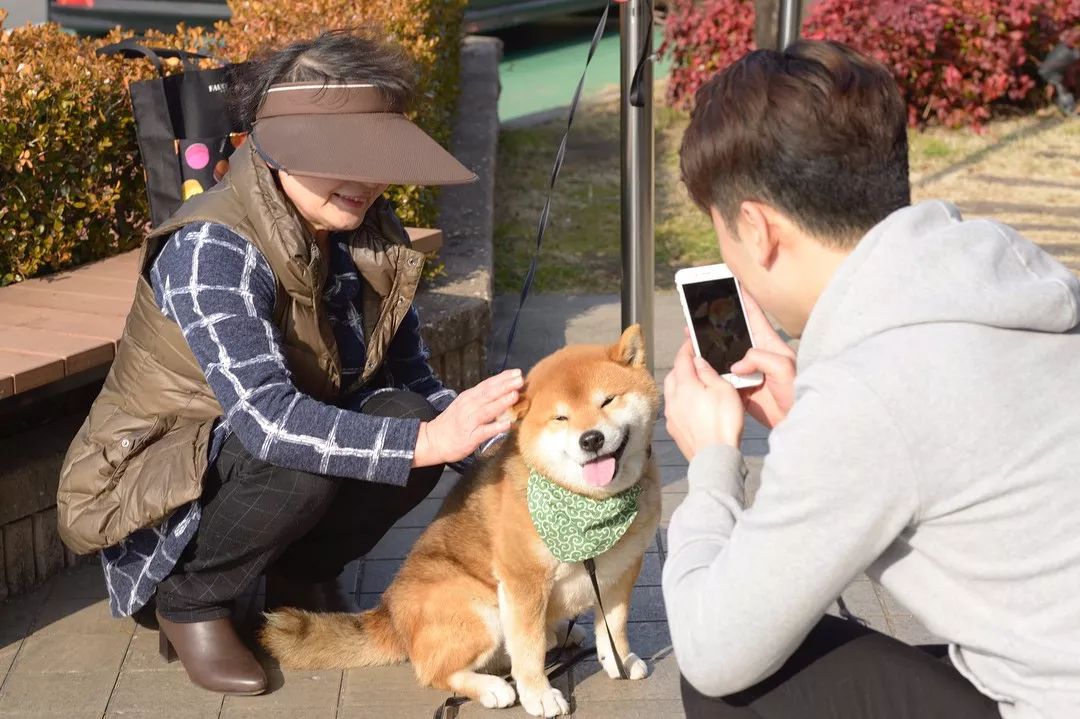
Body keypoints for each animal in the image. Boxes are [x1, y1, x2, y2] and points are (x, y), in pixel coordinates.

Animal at [263, 326, 665, 716]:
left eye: (607, 401)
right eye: (560, 417)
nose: (591, 439)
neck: (589, 504)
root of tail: (390, 613)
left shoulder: (622, 570)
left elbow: (614, 626)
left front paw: (619, 660)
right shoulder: (523, 581)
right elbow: (528, 649)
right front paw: (539, 695)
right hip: (478, 607)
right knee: (434, 671)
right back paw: (493, 687)